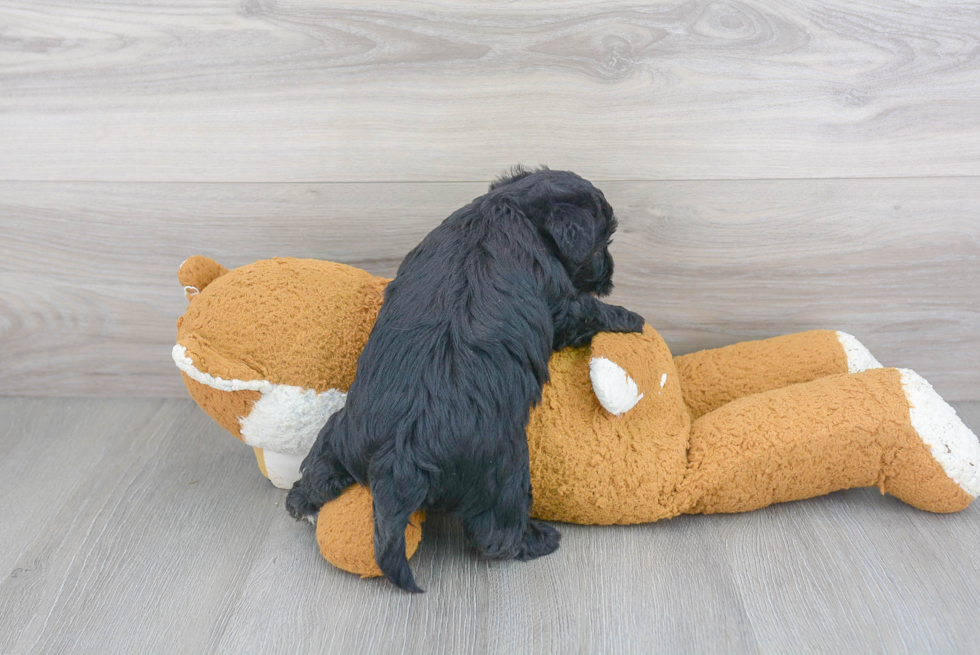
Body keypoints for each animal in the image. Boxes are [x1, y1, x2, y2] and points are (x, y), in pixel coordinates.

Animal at [288, 167, 644, 592]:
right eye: (601, 243)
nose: (610, 271)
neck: (509, 207)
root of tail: (399, 457)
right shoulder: (561, 303)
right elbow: (586, 309)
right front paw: (629, 316)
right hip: (504, 470)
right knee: (497, 532)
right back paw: (538, 540)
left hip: (344, 430)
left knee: (320, 464)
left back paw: (301, 502)